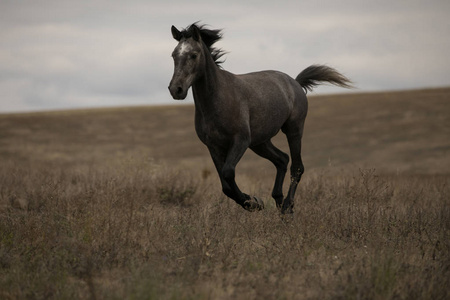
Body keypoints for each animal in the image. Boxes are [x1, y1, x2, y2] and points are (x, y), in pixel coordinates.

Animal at [169, 23, 352, 214]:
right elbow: (225, 186)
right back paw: (278, 201)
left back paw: (287, 206)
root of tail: (295, 83)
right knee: (282, 159)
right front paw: (254, 201)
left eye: (193, 54)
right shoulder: (214, 146)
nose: (176, 89)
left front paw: (253, 203)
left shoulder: (240, 140)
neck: (217, 100)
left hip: (293, 130)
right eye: (174, 55)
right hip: (260, 143)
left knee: (297, 167)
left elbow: (228, 172)